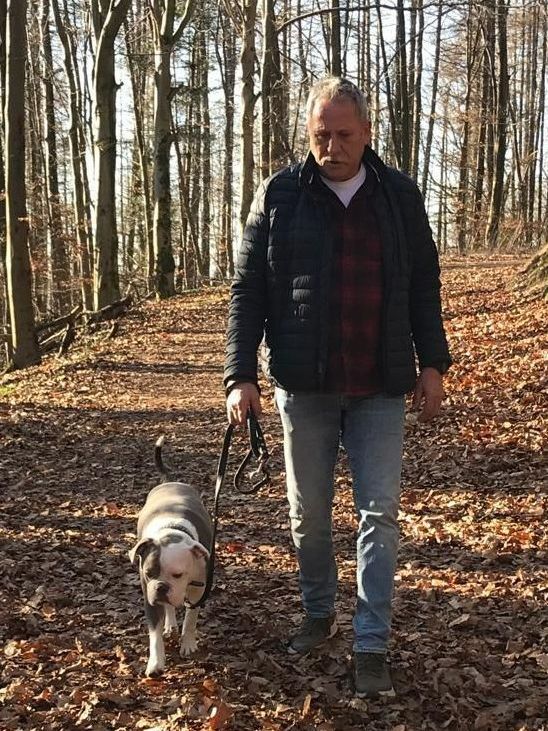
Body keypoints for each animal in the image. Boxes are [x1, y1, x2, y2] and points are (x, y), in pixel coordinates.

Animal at [129, 437, 212, 677]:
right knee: (168, 608)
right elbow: (154, 634)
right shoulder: (149, 598)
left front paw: (188, 643)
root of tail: (170, 481)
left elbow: (191, 619)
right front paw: (156, 662)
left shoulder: (198, 590)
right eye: (148, 573)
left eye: (178, 574)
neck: (171, 531)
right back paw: (169, 623)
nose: (161, 587)